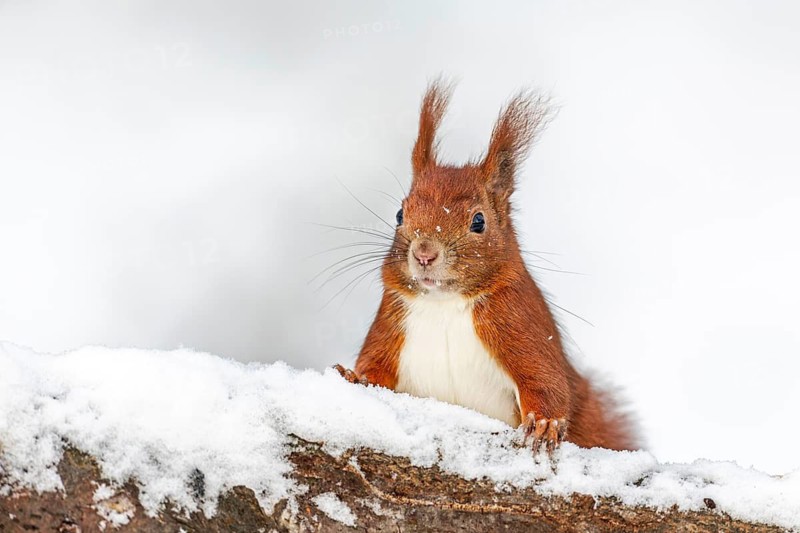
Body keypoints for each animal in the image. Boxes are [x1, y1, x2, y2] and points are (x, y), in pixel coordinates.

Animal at [335, 81, 636, 453]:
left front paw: (545, 424)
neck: (444, 304)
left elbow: (547, 381)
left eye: (478, 221)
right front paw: (355, 377)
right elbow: (375, 368)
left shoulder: (522, 325)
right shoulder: (392, 322)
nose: (424, 254)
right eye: (400, 214)